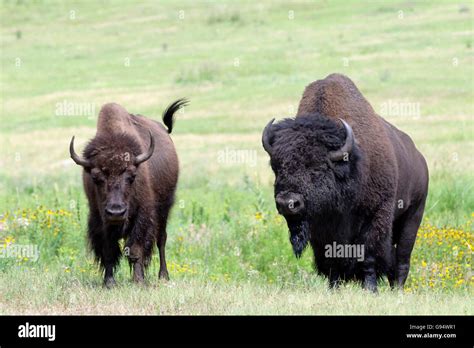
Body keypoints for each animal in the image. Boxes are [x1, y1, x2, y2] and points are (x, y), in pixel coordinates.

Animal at [69, 99, 187, 286]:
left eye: (132, 176)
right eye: (95, 177)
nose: (116, 212)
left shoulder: (142, 217)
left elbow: (135, 249)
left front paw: (138, 281)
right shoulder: (100, 218)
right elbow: (109, 251)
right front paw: (109, 283)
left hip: (164, 210)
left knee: (161, 240)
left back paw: (163, 276)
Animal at [262, 75, 428, 292]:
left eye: (317, 167)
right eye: (277, 167)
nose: (287, 203)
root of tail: (420, 158)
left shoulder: (375, 216)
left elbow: (368, 256)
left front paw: (370, 290)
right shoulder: (321, 230)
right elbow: (332, 260)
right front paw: (334, 288)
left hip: (412, 216)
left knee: (402, 258)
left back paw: (397, 290)